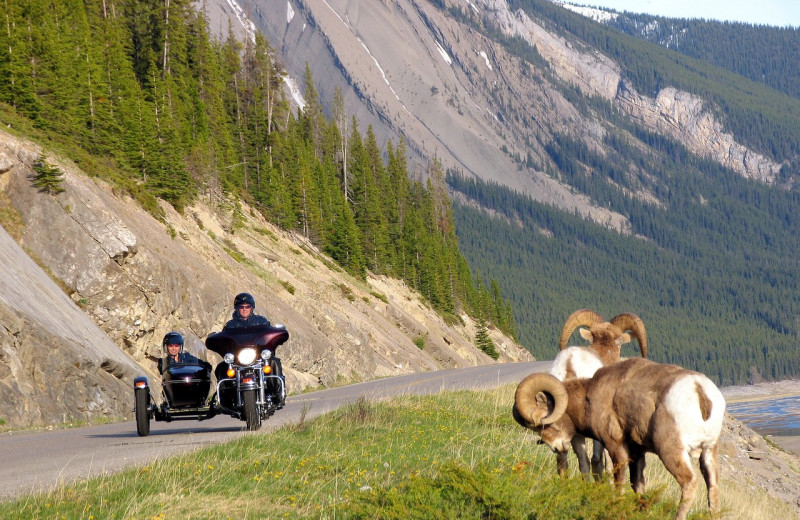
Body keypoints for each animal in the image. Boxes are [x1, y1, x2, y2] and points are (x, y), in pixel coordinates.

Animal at [512, 358, 724, 520]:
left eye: (543, 424)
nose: (556, 448)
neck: (590, 397)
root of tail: (699, 390)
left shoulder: (615, 446)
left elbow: (619, 481)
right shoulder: (637, 452)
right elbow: (637, 484)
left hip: (671, 452)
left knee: (689, 482)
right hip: (709, 451)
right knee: (712, 487)